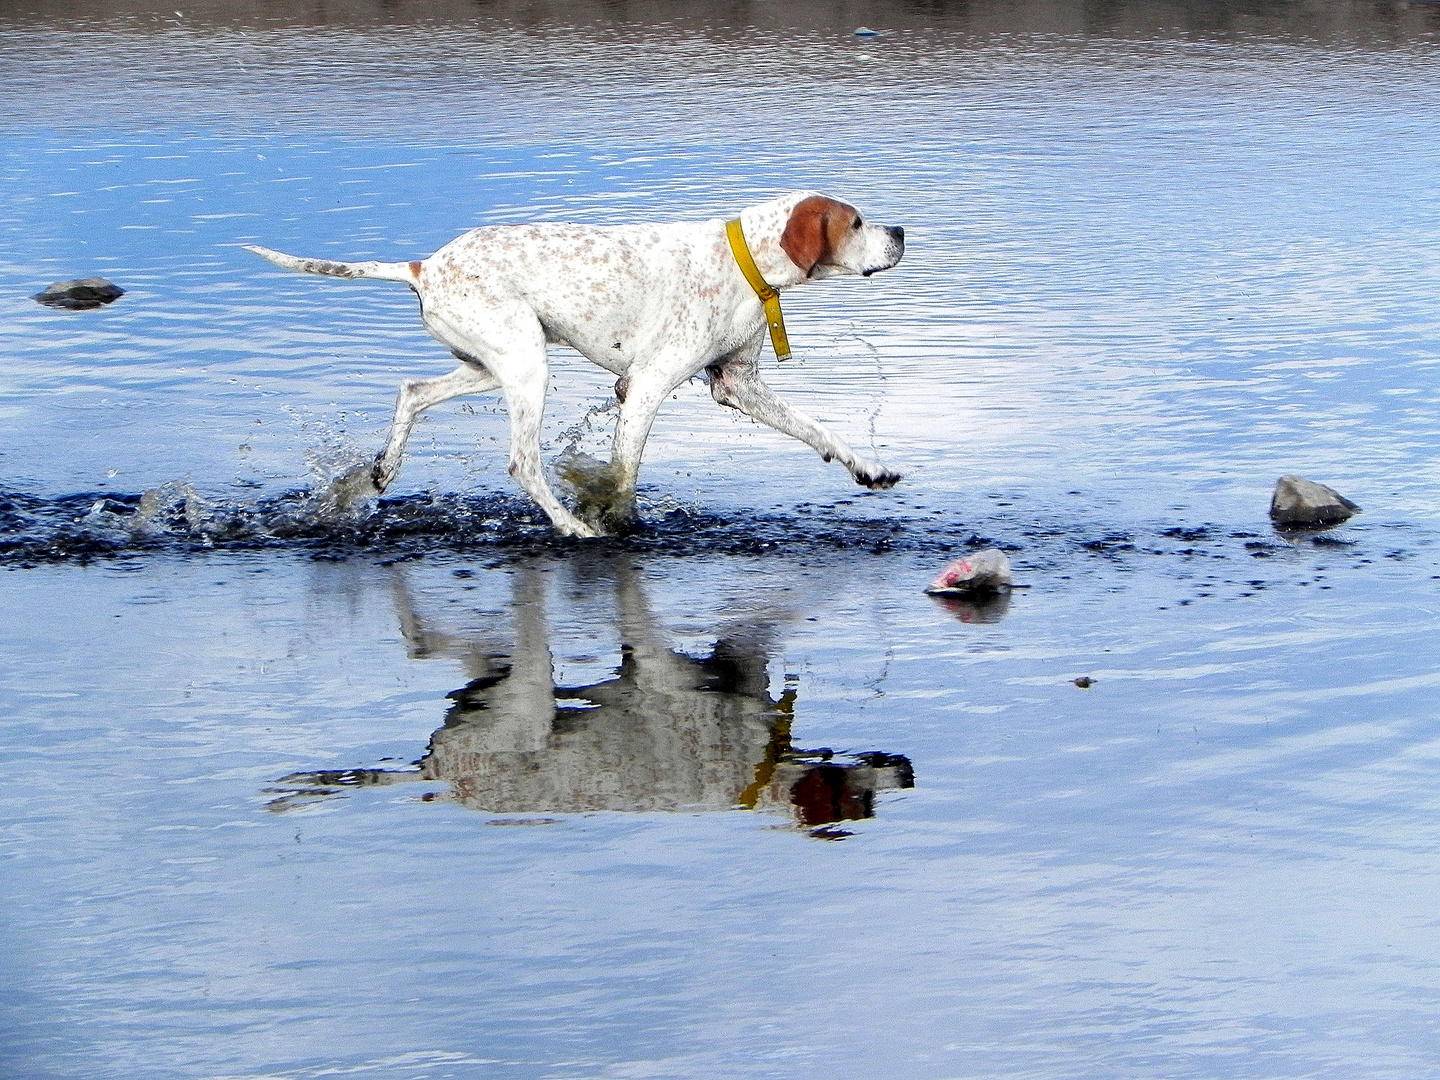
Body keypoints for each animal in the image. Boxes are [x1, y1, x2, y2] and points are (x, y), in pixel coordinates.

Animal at [244, 192, 898, 538]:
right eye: (857, 222)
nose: (900, 230)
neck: (743, 263)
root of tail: (424, 265)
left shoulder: (736, 385)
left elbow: (819, 429)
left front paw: (868, 467)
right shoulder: (645, 387)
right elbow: (625, 475)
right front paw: (613, 522)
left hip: (494, 364)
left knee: (412, 391)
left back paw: (383, 469)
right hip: (526, 368)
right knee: (523, 463)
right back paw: (573, 529)